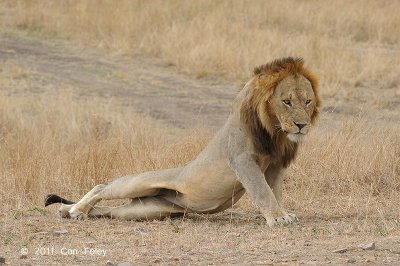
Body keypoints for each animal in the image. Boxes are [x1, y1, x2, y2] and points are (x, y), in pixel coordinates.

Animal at [46, 56, 322, 227]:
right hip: (139, 184)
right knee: (103, 186)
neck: (275, 130)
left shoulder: (275, 163)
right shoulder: (242, 159)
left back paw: (68, 211)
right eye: (286, 102)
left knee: (111, 211)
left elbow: (275, 190)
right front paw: (278, 219)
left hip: (148, 209)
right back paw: (75, 210)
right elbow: (262, 190)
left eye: (307, 101)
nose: (301, 125)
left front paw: (283, 213)